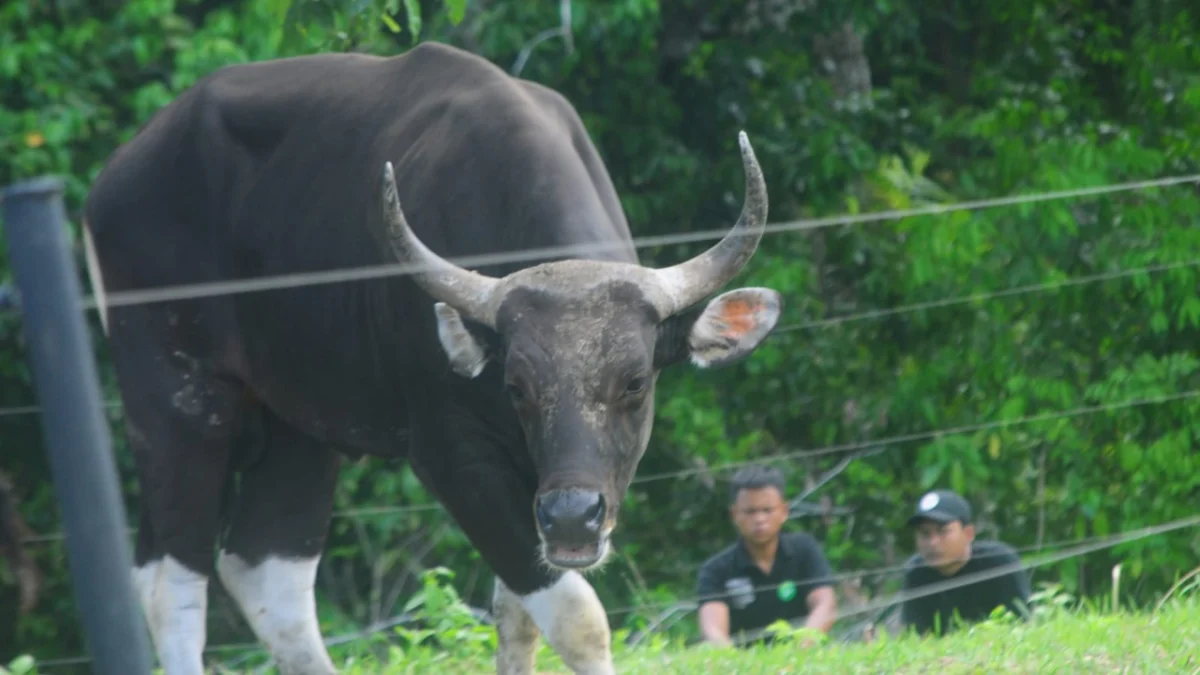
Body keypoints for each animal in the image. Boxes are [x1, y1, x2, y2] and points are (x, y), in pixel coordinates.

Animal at [82, 43, 777, 672]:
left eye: (634, 382)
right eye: (517, 386)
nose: (573, 519)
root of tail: (114, 180)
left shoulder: (536, 485)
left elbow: (519, 616)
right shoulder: (452, 456)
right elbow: (579, 618)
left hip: (298, 424)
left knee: (265, 573)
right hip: (175, 399)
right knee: (172, 582)